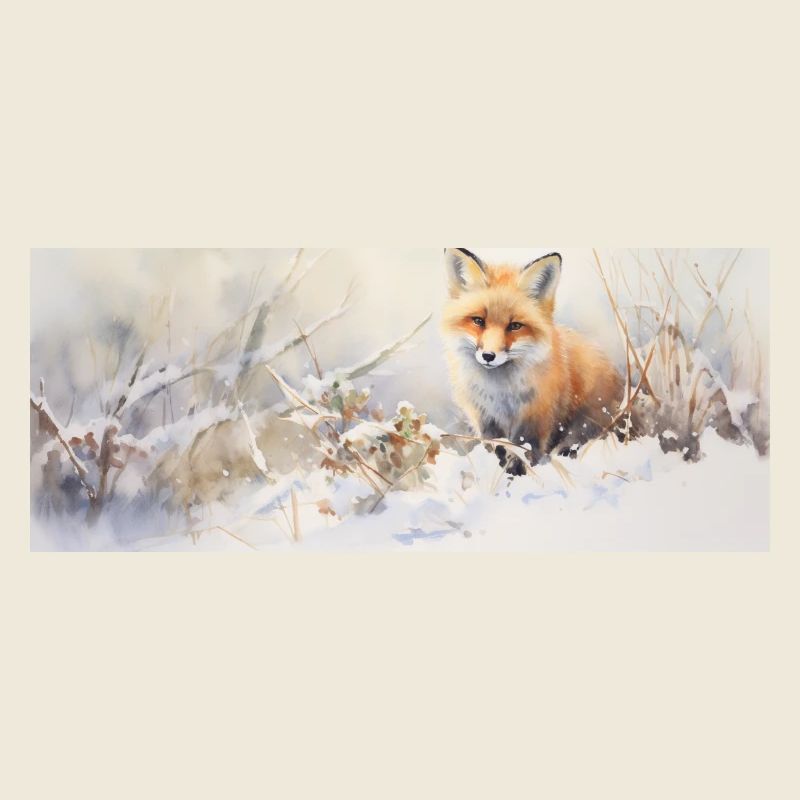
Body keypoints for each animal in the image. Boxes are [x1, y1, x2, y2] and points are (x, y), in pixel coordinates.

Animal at [442, 248, 624, 474]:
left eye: (515, 326)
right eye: (478, 321)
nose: (489, 356)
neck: (500, 393)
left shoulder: (535, 420)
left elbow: (525, 453)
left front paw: (517, 477)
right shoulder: (485, 420)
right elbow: (497, 450)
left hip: (584, 425)